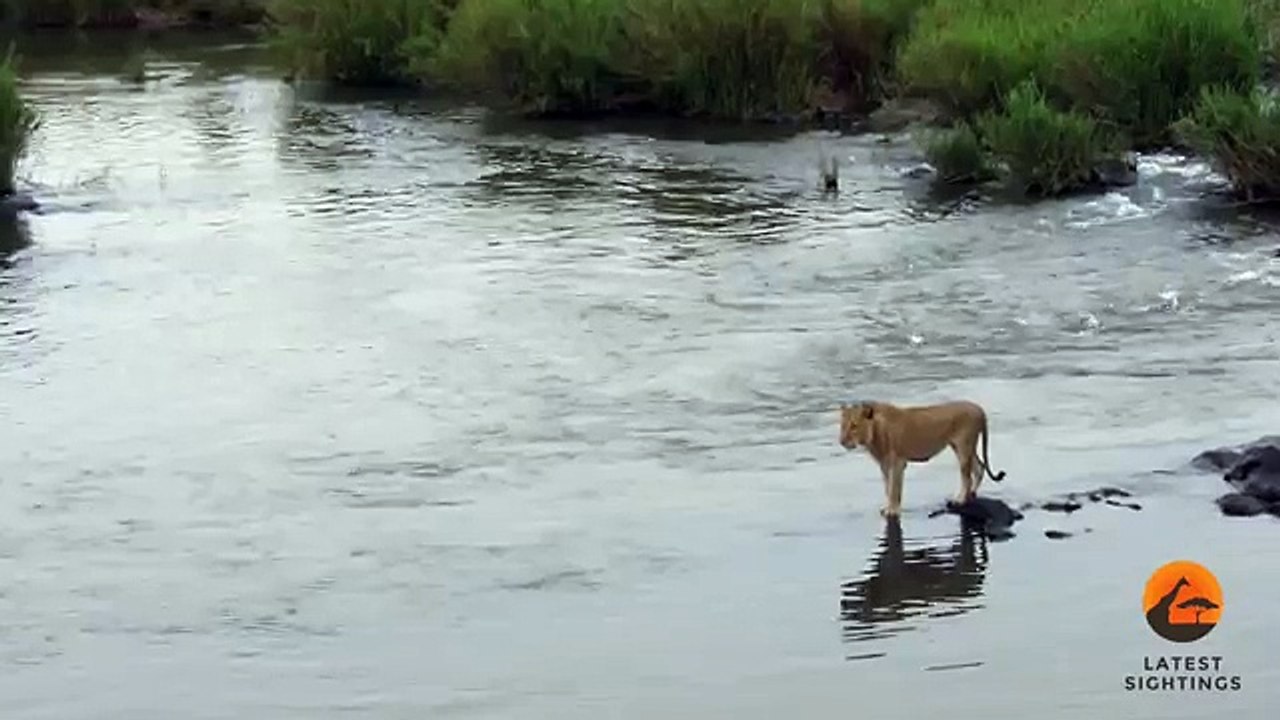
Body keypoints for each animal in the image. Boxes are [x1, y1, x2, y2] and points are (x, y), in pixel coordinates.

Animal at [838, 399, 1007, 517]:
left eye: (854, 426)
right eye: (842, 425)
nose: (842, 441)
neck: (874, 433)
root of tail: (979, 409)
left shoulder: (898, 463)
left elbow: (894, 489)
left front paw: (892, 511)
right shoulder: (884, 464)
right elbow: (888, 487)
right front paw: (888, 507)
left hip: (963, 447)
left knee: (967, 477)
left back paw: (960, 499)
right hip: (962, 447)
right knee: (979, 468)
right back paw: (971, 494)